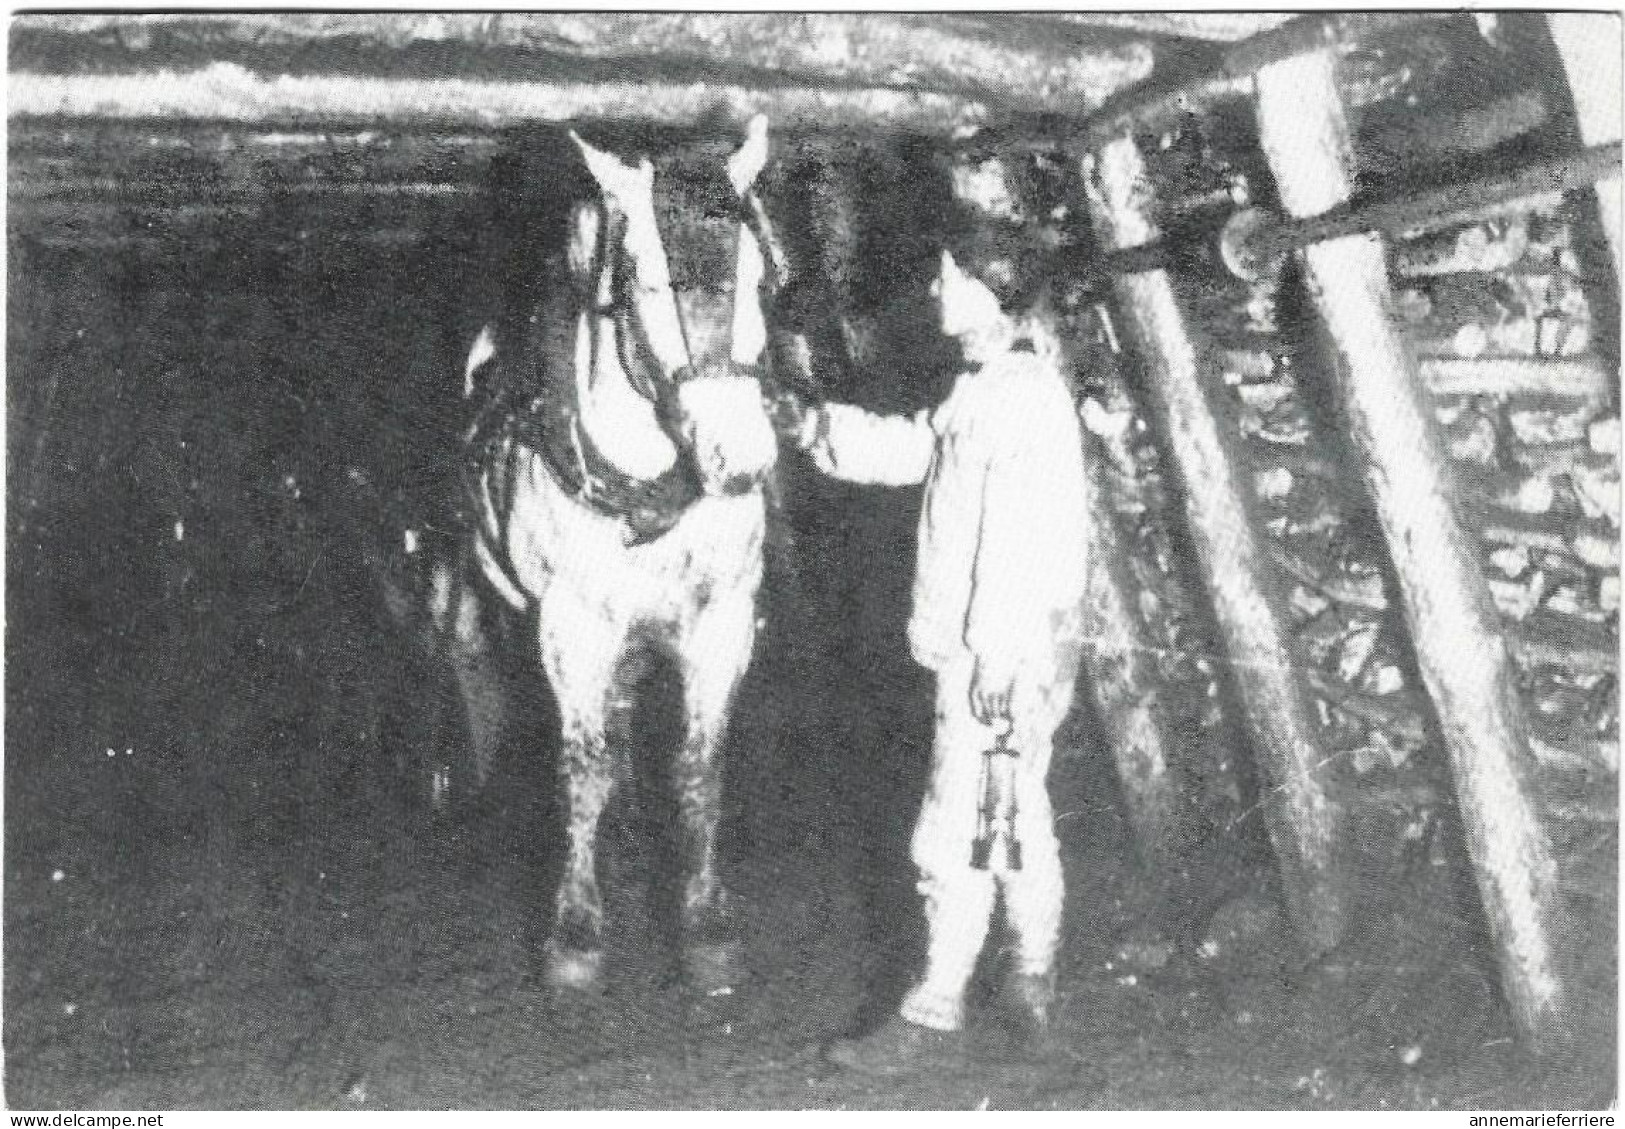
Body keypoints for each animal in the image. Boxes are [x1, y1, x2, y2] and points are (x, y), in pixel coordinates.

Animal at [461, 119, 783, 994]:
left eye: (761, 280)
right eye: (647, 283)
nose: (742, 459)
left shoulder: (722, 617)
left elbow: (700, 764)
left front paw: (705, 922)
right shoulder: (571, 625)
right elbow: (583, 766)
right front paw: (574, 932)